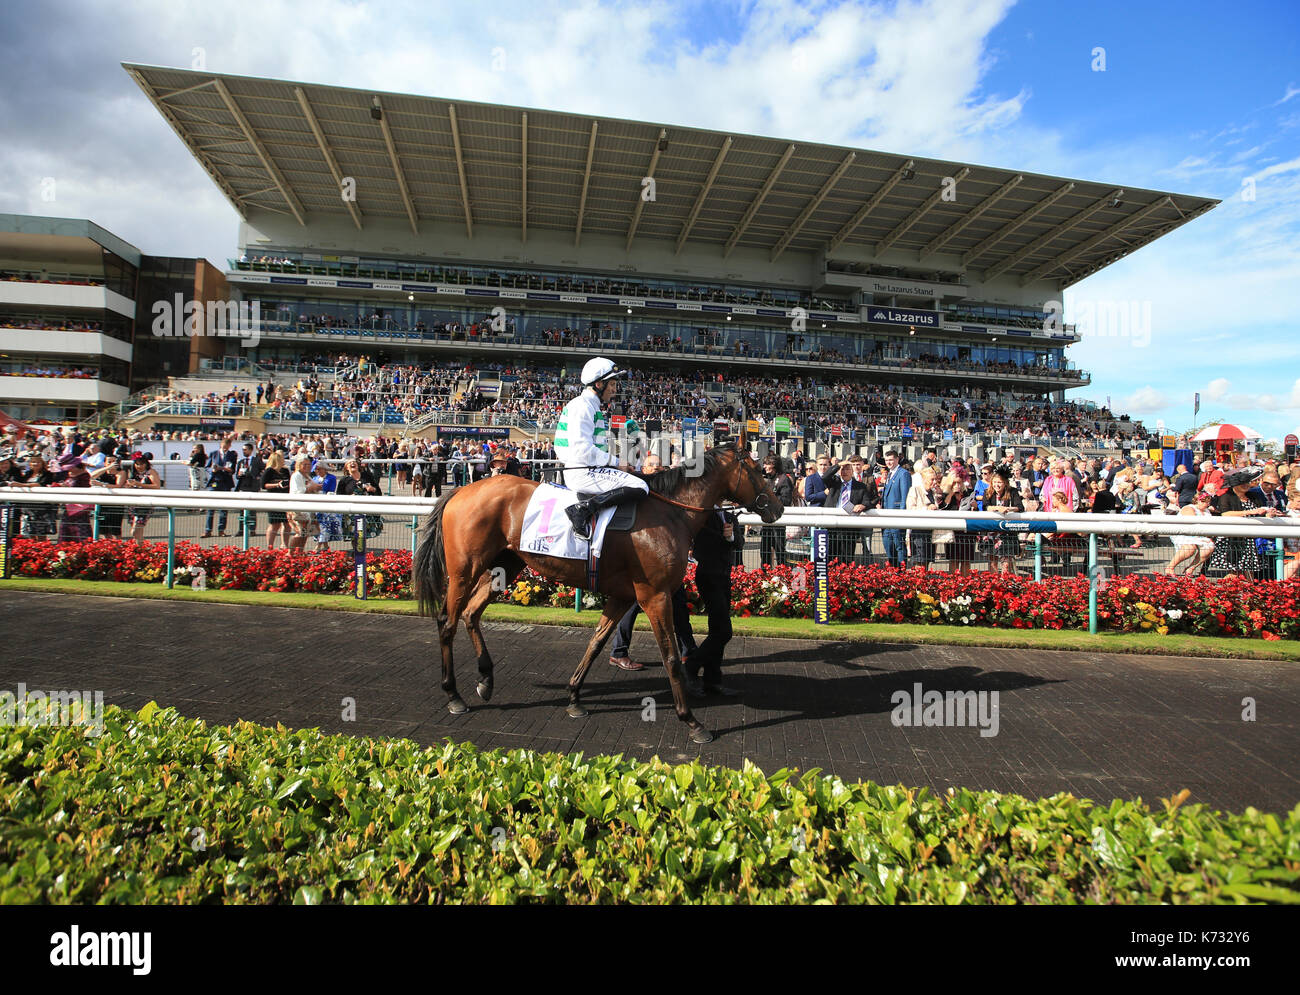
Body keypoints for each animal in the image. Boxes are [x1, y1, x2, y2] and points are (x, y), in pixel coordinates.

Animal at [416, 447, 780, 743]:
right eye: (759, 470)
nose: (776, 509)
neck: (670, 513)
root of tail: (460, 490)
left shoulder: (624, 596)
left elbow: (596, 642)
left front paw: (575, 698)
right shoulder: (656, 595)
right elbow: (671, 657)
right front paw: (691, 721)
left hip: (505, 566)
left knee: (471, 614)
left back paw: (486, 680)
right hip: (464, 570)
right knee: (447, 621)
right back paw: (453, 695)